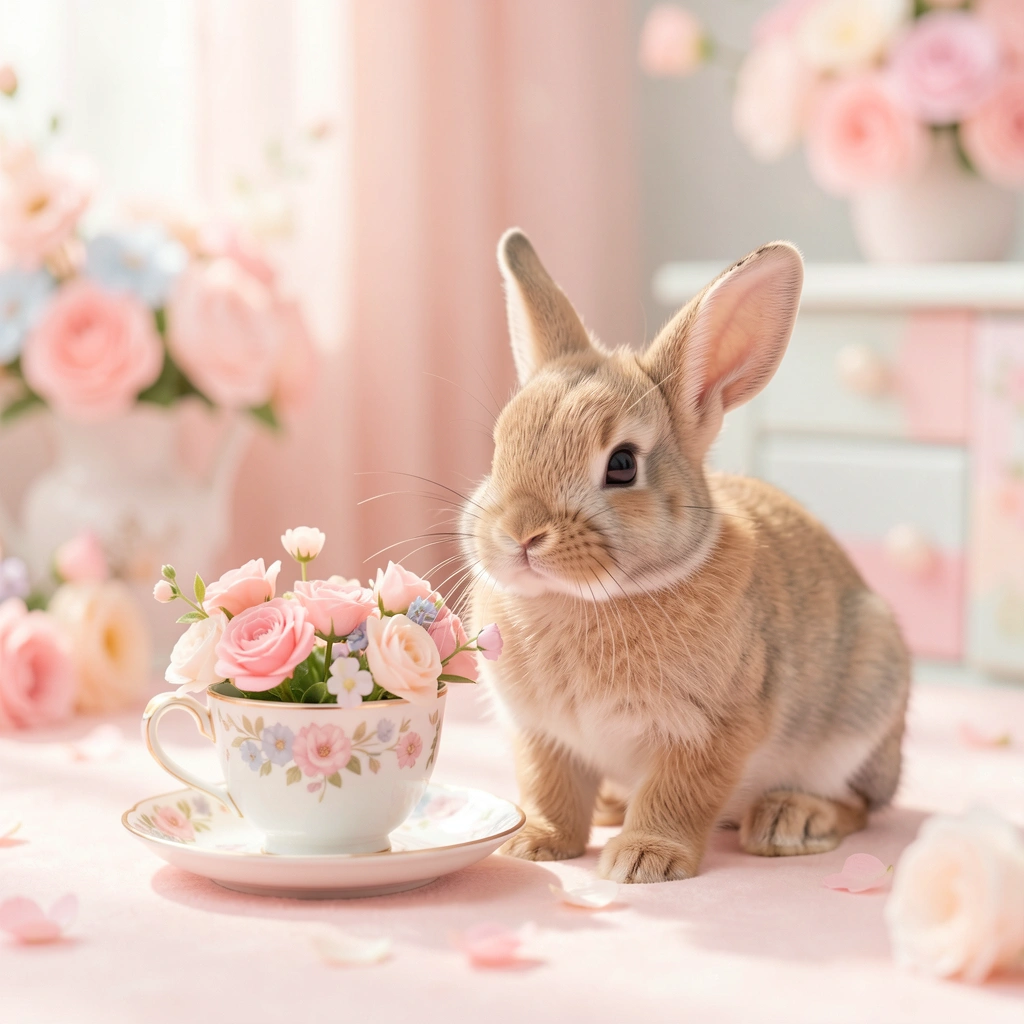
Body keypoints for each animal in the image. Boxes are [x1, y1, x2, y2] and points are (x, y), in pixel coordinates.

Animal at [461, 229, 910, 884]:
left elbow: (677, 794)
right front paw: (534, 843)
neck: (584, 598)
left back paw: (790, 820)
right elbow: (549, 789)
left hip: (861, 714)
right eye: (498, 447)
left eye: (623, 464)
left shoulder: (710, 730)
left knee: (859, 805)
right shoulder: (542, 735)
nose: (520, 532)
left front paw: (644, 860)